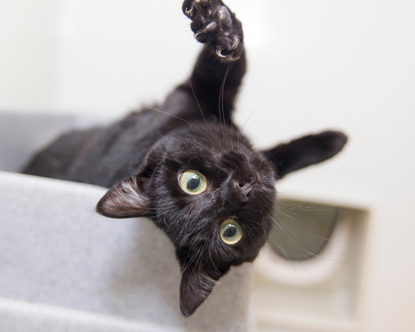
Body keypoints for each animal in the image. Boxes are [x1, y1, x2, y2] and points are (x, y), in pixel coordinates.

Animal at [22, 0, 348, 316]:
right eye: (230, 232)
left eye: (191, 182)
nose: (242, 189)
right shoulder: (195, 92)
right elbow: (220, 71)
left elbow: (282, 157)